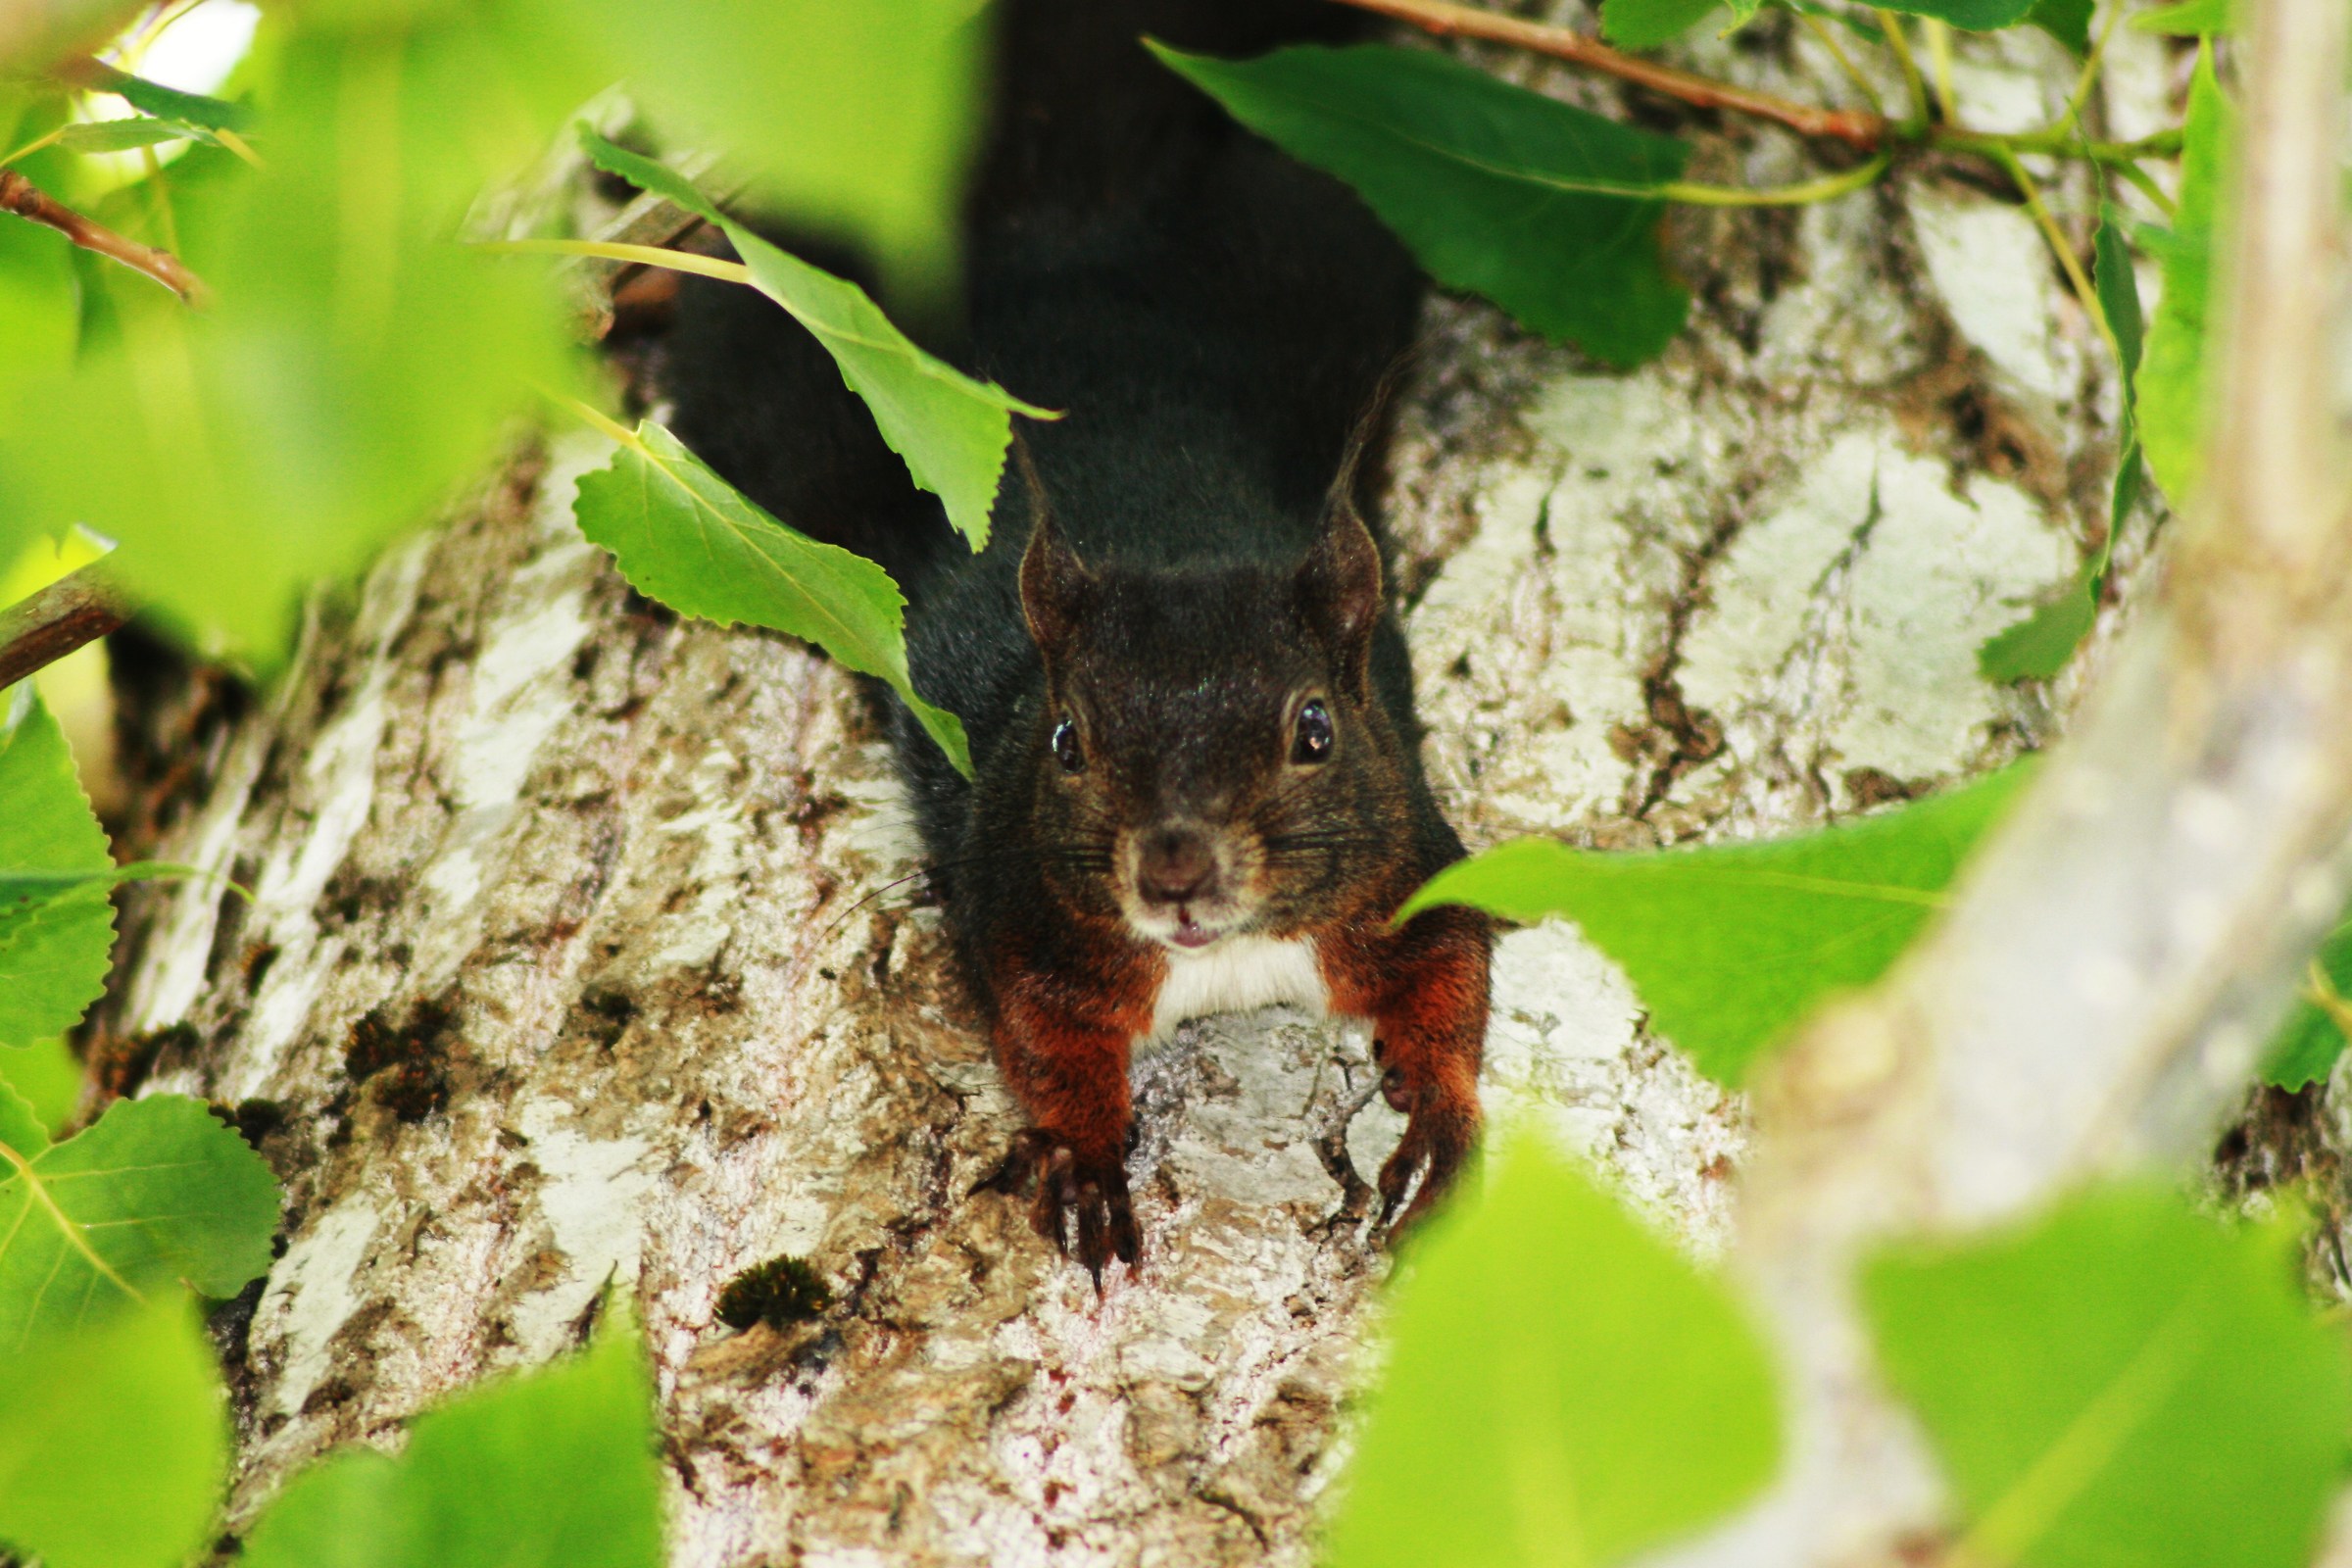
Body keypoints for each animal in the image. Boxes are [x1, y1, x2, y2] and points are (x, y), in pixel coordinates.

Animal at [660, 0, 1491, 1281]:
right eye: (1068, 742)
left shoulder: (1407, 858)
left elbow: (1458, 971)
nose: (1176, 871)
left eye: (1315, 728)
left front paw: (1436, 1122)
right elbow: (1048, 1050)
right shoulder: (1020, 917)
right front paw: (1090, 1165)